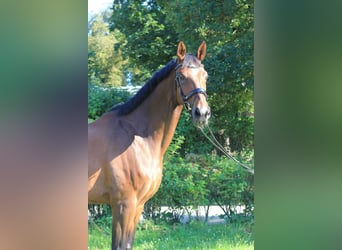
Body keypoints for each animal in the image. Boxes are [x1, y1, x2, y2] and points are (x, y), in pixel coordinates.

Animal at [88, 41, 211, 250]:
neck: (137, 137)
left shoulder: (138, 206)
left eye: (205, 76)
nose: (201, 113)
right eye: (181, 76)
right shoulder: (123, 205)